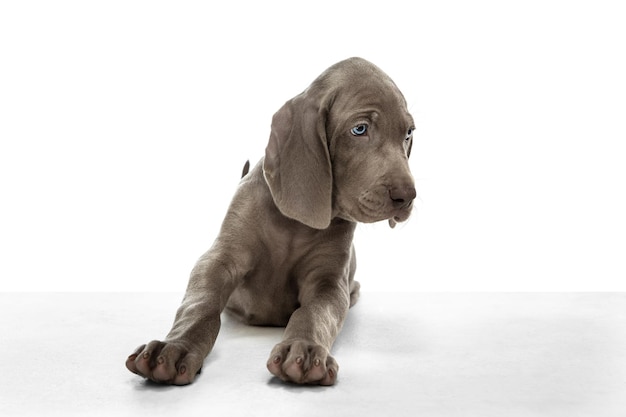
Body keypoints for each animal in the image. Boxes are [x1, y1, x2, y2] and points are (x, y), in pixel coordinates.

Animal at [125, 57, 414, 386]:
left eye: (408, 133)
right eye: (360, 129)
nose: (408, 197)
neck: (295, 226)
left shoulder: (328, 280)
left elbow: (314, 313)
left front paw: (304, 350)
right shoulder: (220, 259)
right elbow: (200, 306)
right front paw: (174, 347)